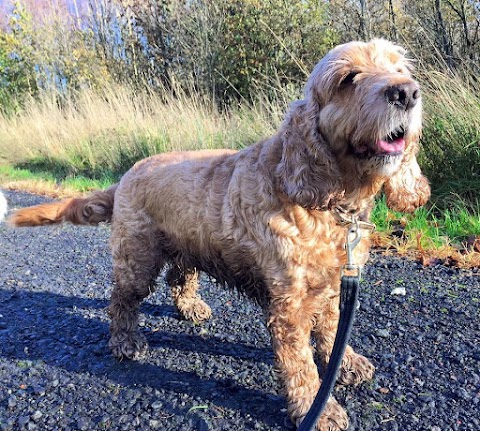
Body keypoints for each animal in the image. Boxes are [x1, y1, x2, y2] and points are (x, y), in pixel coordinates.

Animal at [7, 38, 430, 430]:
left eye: (399, 69)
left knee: (179, 278)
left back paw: (190, 307)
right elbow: (301, 365)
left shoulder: (330, 283)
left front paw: (346, 362)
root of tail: (126, 175)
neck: (327, 199)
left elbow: (330, 329)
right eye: (348, 78)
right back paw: (125, 341)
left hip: (186, 244)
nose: (406, 92)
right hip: (137, 258)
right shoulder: (288, 306)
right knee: (121, 299)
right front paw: (318, 408)